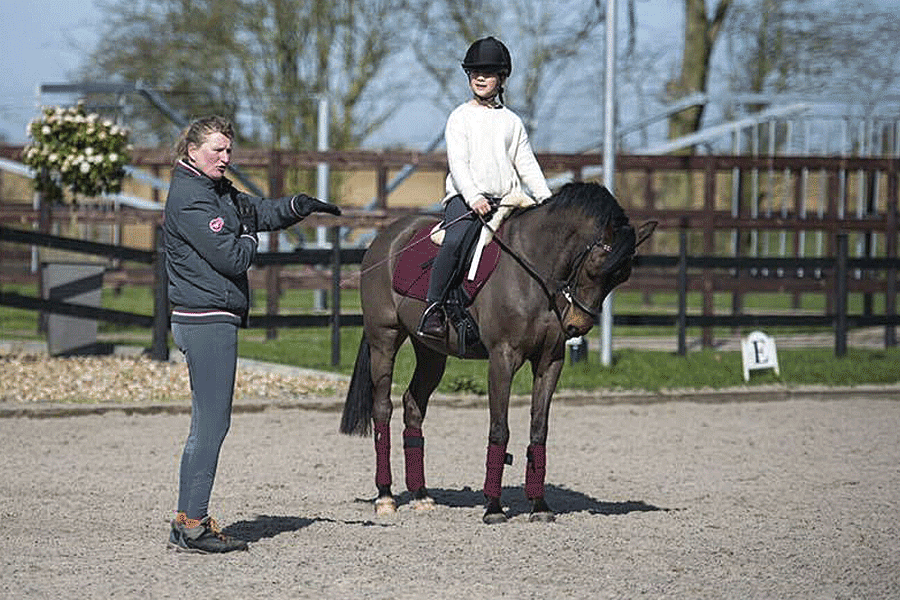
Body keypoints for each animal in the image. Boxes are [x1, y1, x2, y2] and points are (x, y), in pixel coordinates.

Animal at [338, 180, 652, 524]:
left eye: (621, 277)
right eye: (596, 267)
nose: (577, 325)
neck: (533, 271)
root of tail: (387, 237)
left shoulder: (550, 362)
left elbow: (538, 430)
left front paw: (540, 506)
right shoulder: (503, 358)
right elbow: (499, 430)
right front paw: (493, 508)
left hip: (431, 352)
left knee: (413, 407)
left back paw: (421, 495)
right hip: (384, 339)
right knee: (382, 409)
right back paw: (385, 497)